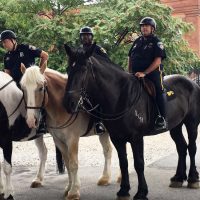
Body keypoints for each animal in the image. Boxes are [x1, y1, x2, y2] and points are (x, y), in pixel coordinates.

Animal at [19, 65, 112, 199]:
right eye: (23, 88)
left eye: (41, 88)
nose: (31, 120)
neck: (61, 106)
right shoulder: (58, 140)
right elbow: (67, 163)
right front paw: (69, 187)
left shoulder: (72, 139)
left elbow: (73, 164)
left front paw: (74, 191)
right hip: (103, 133)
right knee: (108, 151)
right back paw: (105, 178)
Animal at [63, 43, 200, 200]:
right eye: (68, 69)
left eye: (84, 69)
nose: (68, 103)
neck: (120, 96)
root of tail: (192, 84)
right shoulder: (117, 138)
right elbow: (123, 163)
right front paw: (124, 190)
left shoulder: (136, 138)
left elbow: (139, 164)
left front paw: (141, 192)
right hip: (175, 126)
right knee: (182, 147)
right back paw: (178, 178)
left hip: (191, 124)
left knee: (192, 147)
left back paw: (193, 179)